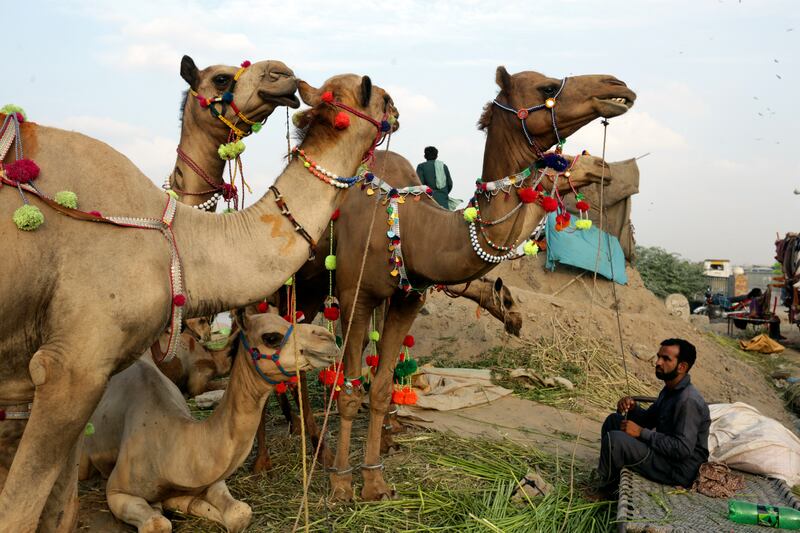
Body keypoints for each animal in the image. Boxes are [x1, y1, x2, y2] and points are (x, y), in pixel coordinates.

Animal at [83, 312, 340, 532]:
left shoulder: (212, 478)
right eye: (271, 337)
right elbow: (158, 524)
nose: (329, 339)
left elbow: (240, 513)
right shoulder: (116, 489)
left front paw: (179, 502)